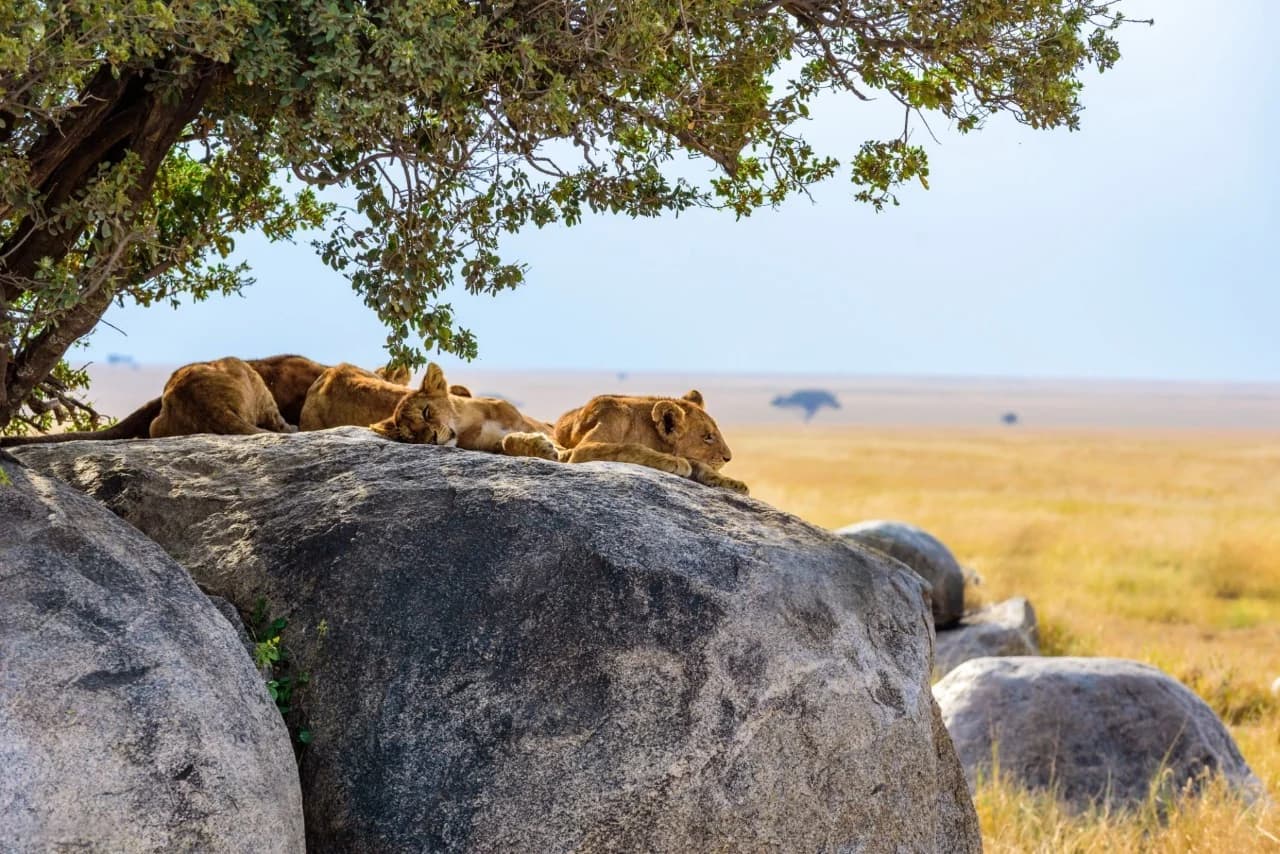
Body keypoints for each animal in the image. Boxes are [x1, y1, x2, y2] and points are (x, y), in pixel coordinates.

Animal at [500, 389, 748, 494]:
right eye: (707, 437)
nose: (729, 457)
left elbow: (701, 467)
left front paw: (733, 483)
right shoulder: (583, 450)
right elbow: (629, 447)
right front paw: (673, 462)